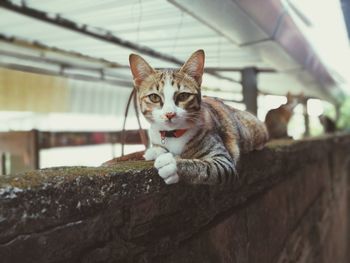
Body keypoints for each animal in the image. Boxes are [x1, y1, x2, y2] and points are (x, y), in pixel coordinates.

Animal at [129, 49, 268, 186]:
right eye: (154, 97)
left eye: (183, 96)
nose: (170, 114)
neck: (173, 135)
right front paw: (155, 151)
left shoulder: (223, 161)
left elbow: (204, 168)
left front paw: (173, 164)